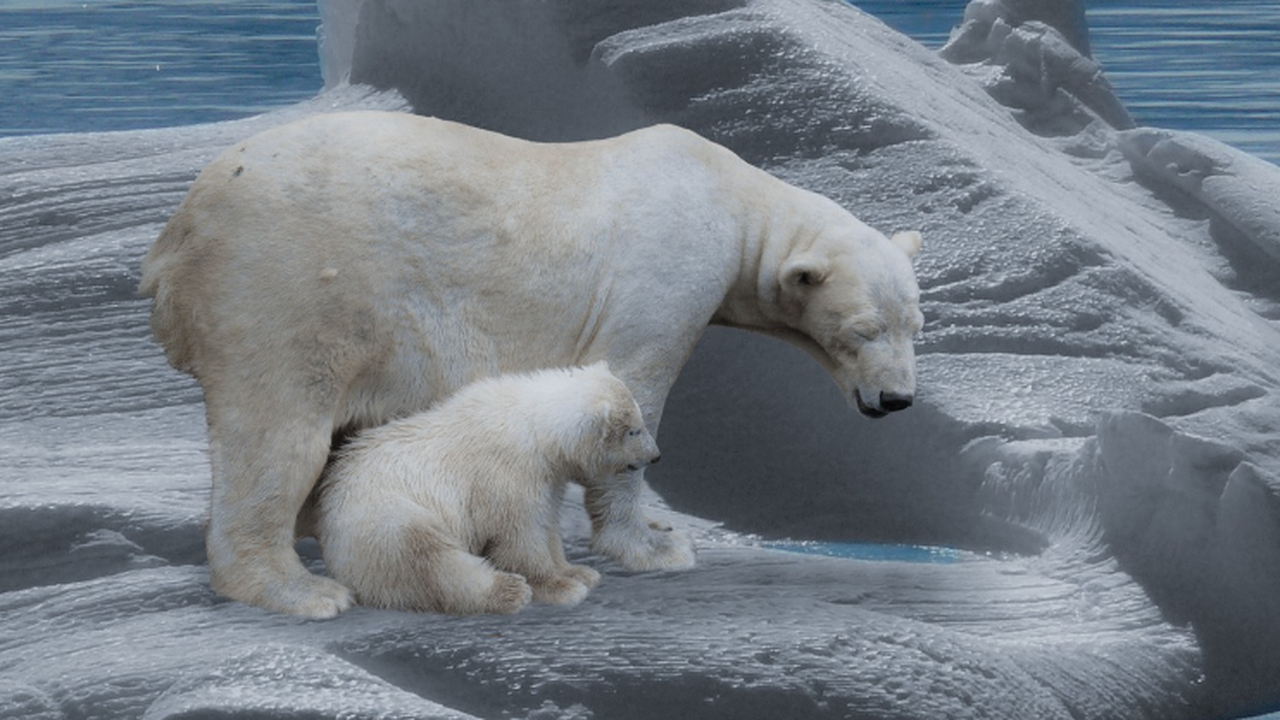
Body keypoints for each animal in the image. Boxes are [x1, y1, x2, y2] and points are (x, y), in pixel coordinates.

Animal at [137, 109, 921, 614]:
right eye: (862, 331)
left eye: (915, 324)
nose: (898, 401)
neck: (732, 199)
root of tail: (176, 235)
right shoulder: (663, 278)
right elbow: (635, 383)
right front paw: (652, 546)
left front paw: (662, 530)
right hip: (283, 285)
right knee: (280, 436)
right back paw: (302, 589)